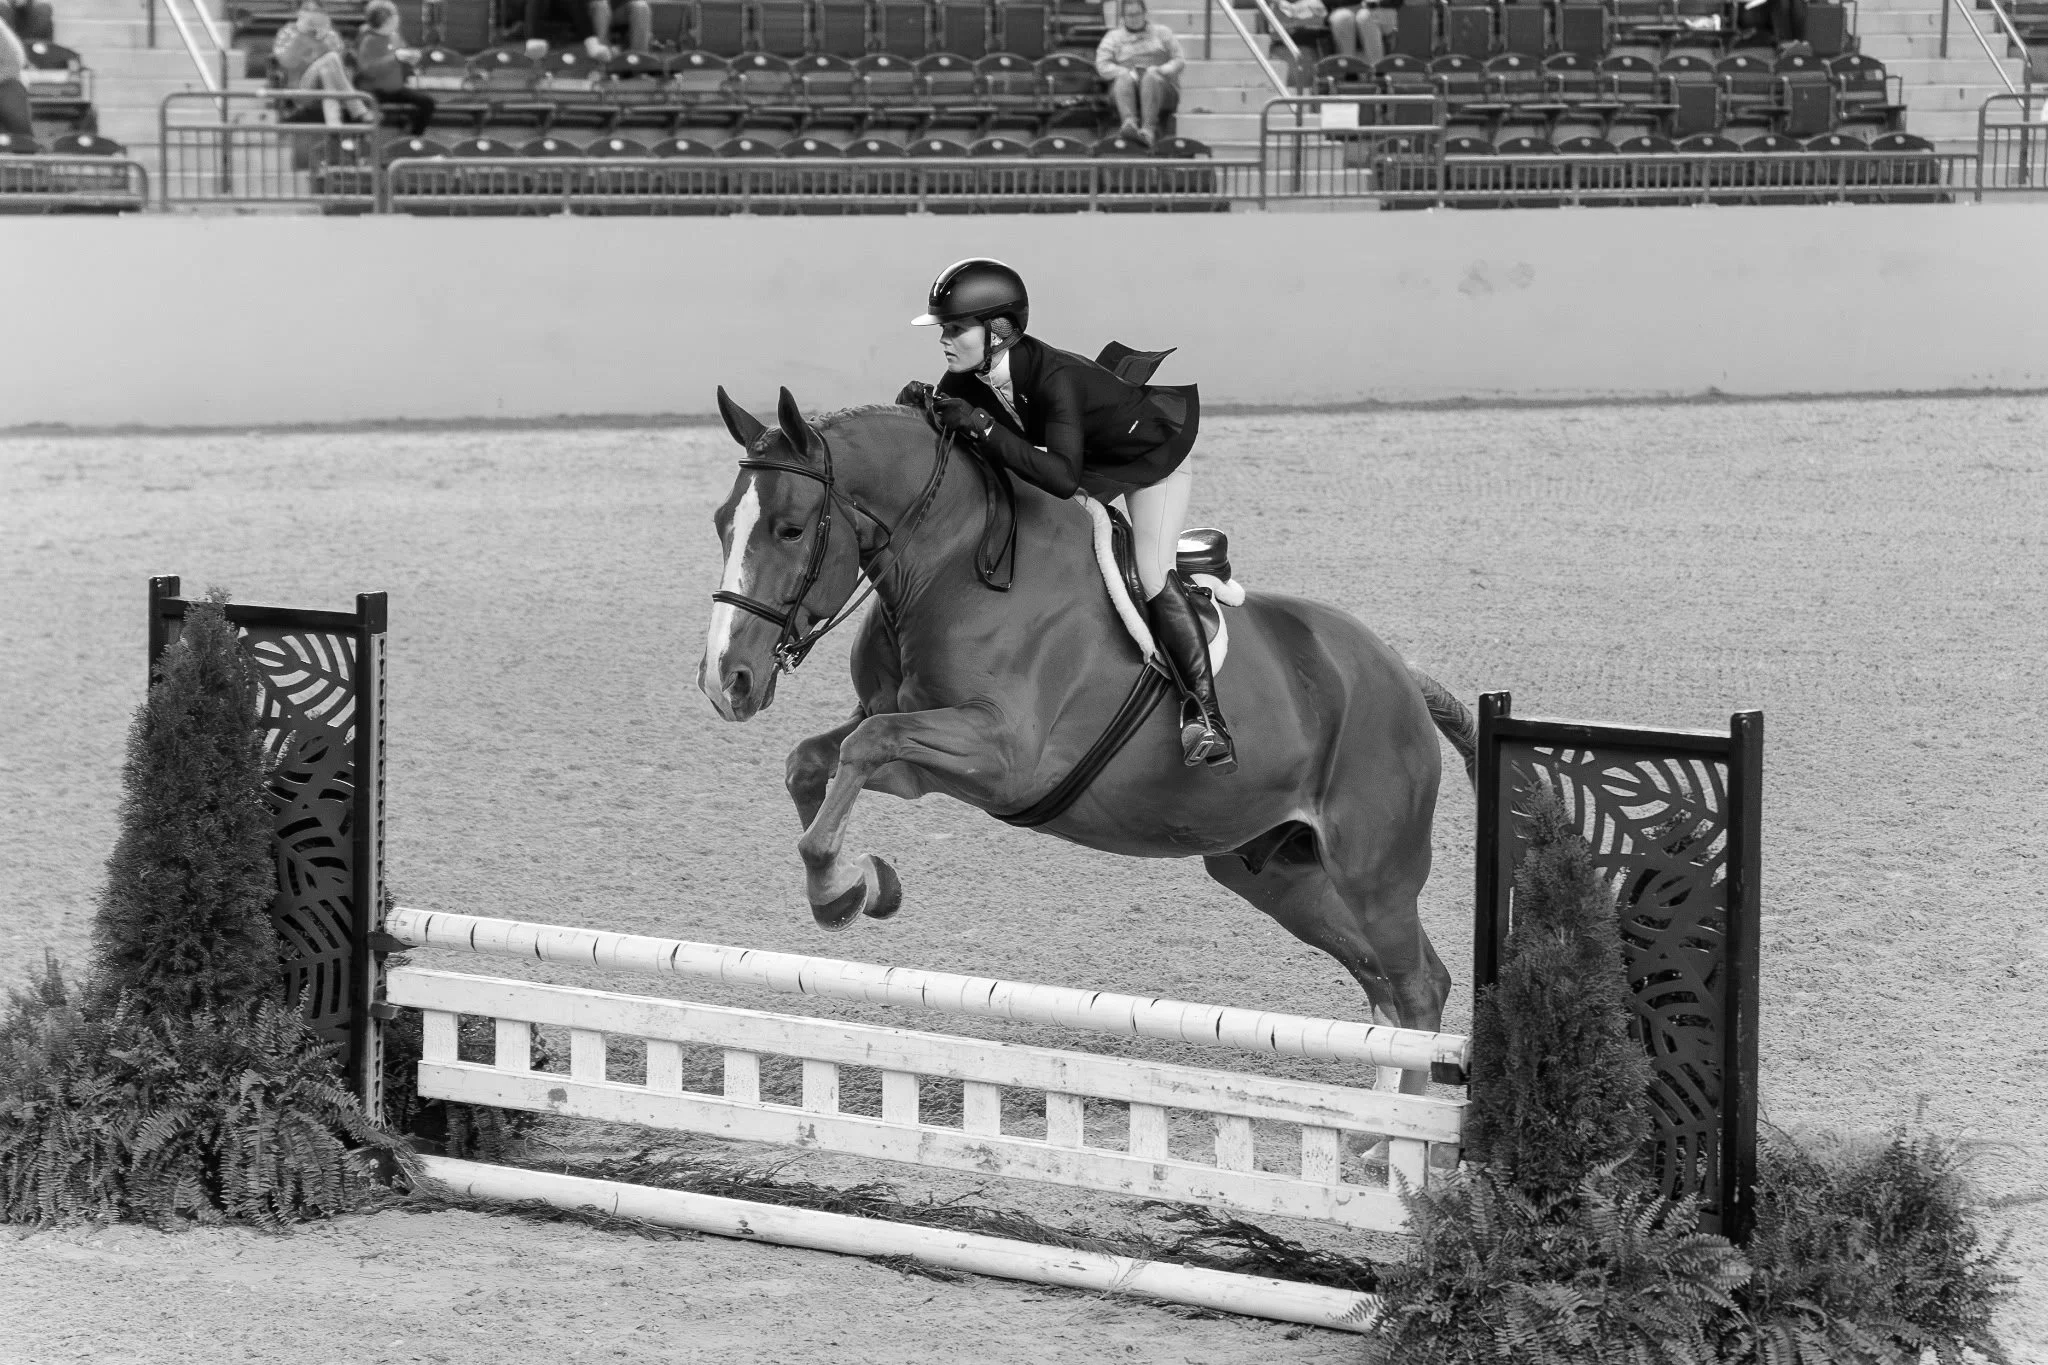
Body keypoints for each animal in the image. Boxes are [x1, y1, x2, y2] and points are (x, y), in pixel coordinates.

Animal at [697, 388, 1478, 1092]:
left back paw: (1393, 1148)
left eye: (791, 528)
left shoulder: (1002, 756)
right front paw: (853, 889)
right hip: (1279, 872)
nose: (725, 681)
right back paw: (1374, 1136)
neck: (950, 564)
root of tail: (1398, 675)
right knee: (1387, 986)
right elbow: (813, 761)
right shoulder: (923, 758)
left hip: (1372, 869)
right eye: (721, 524)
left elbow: (863, 746)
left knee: (1419, 986)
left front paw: (839, 881)